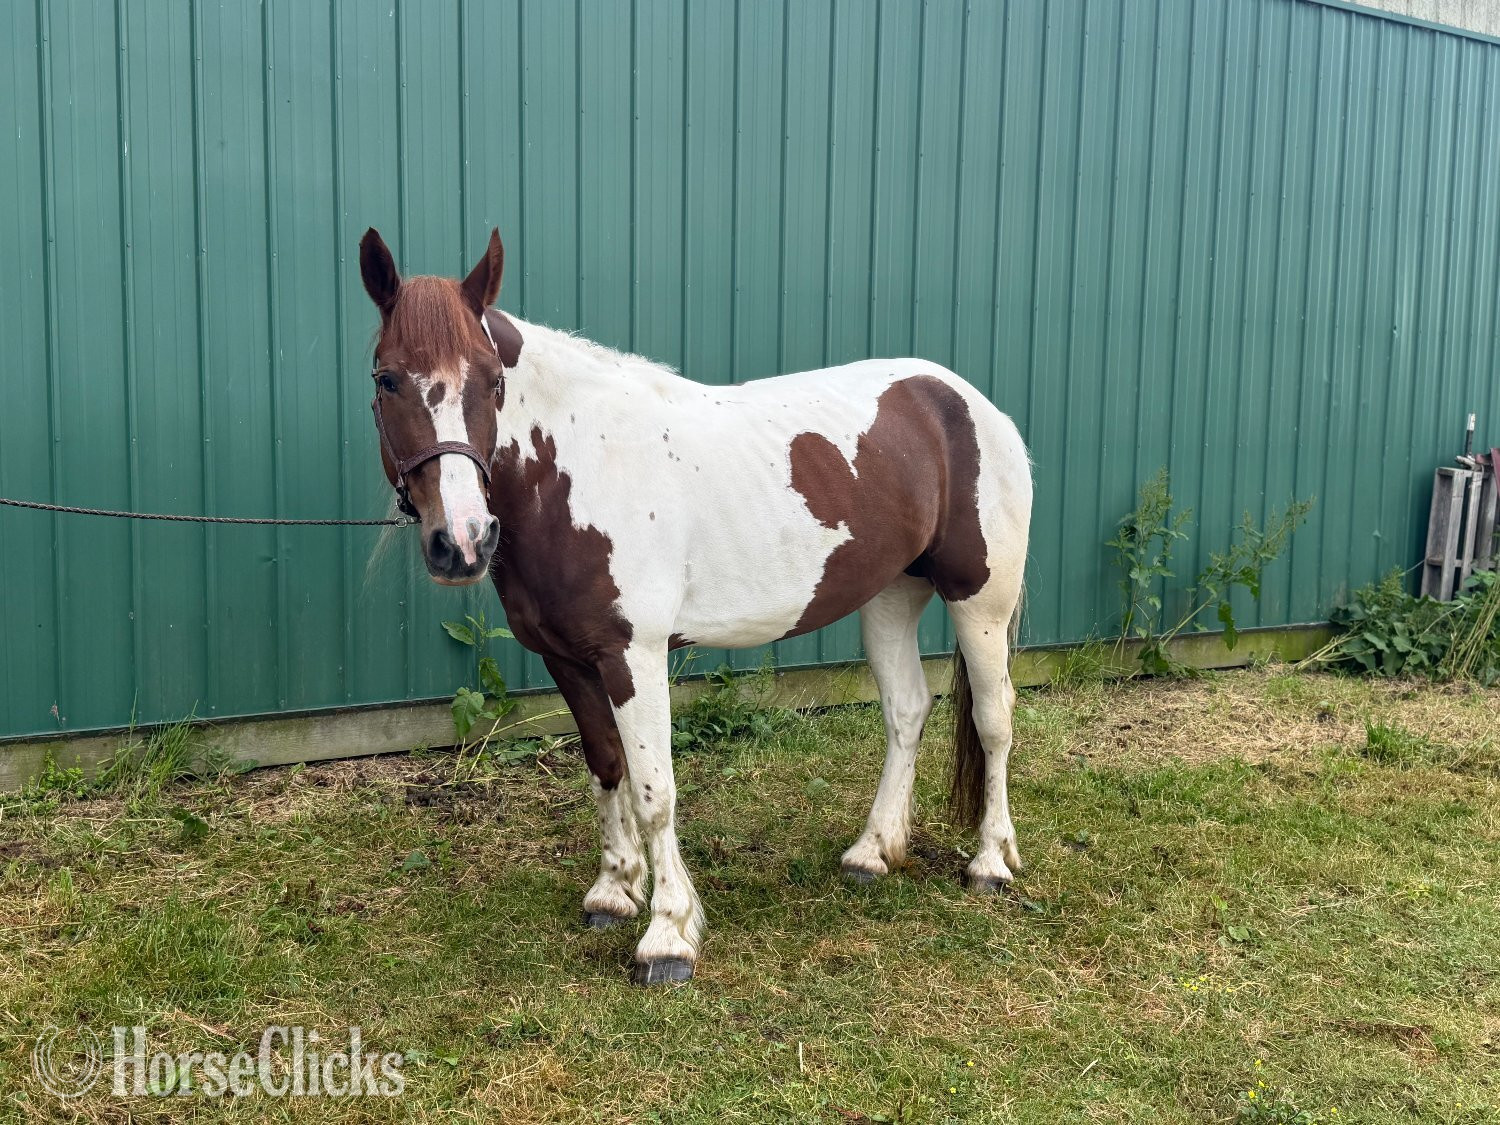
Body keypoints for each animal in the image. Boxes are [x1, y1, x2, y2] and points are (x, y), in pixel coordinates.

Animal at [359, 228, 1032, 985]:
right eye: (387, 379)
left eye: (492, 380)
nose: (463, 541)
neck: (576, 467)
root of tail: (966, 401)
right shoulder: (569, 658)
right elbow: (607, 766)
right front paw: (613, 890)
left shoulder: (634, 654)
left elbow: (655, 790)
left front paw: (667, 934)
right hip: (890, 595)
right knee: (907, 711)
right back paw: (872, 851)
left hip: (981, 601)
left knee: (994, 719)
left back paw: (990, 862)